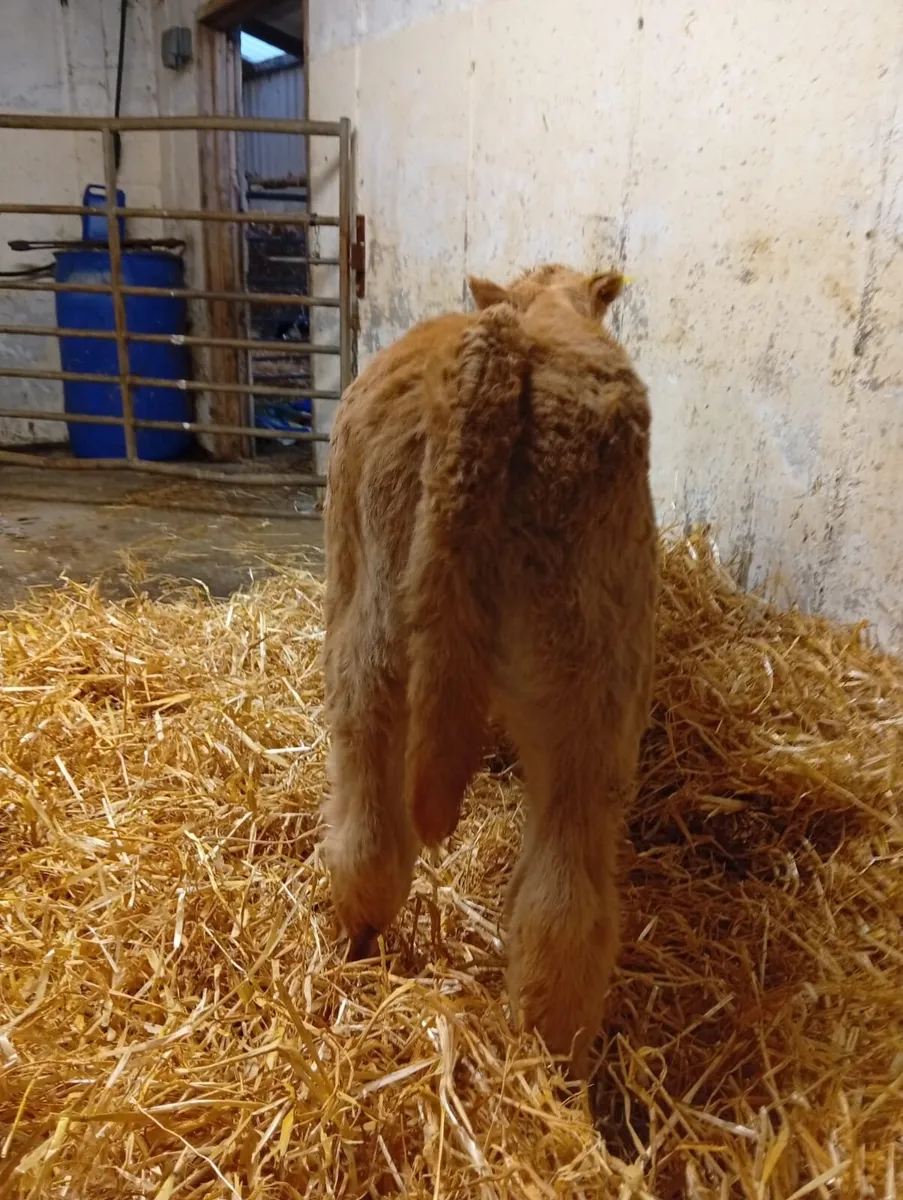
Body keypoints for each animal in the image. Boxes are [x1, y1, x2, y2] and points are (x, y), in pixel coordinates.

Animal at [321, 264, 657, 1072]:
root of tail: (502, 350)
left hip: (374, 638)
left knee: (373, 836)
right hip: (590, 688)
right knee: (561, 903)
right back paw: (553, 1060)